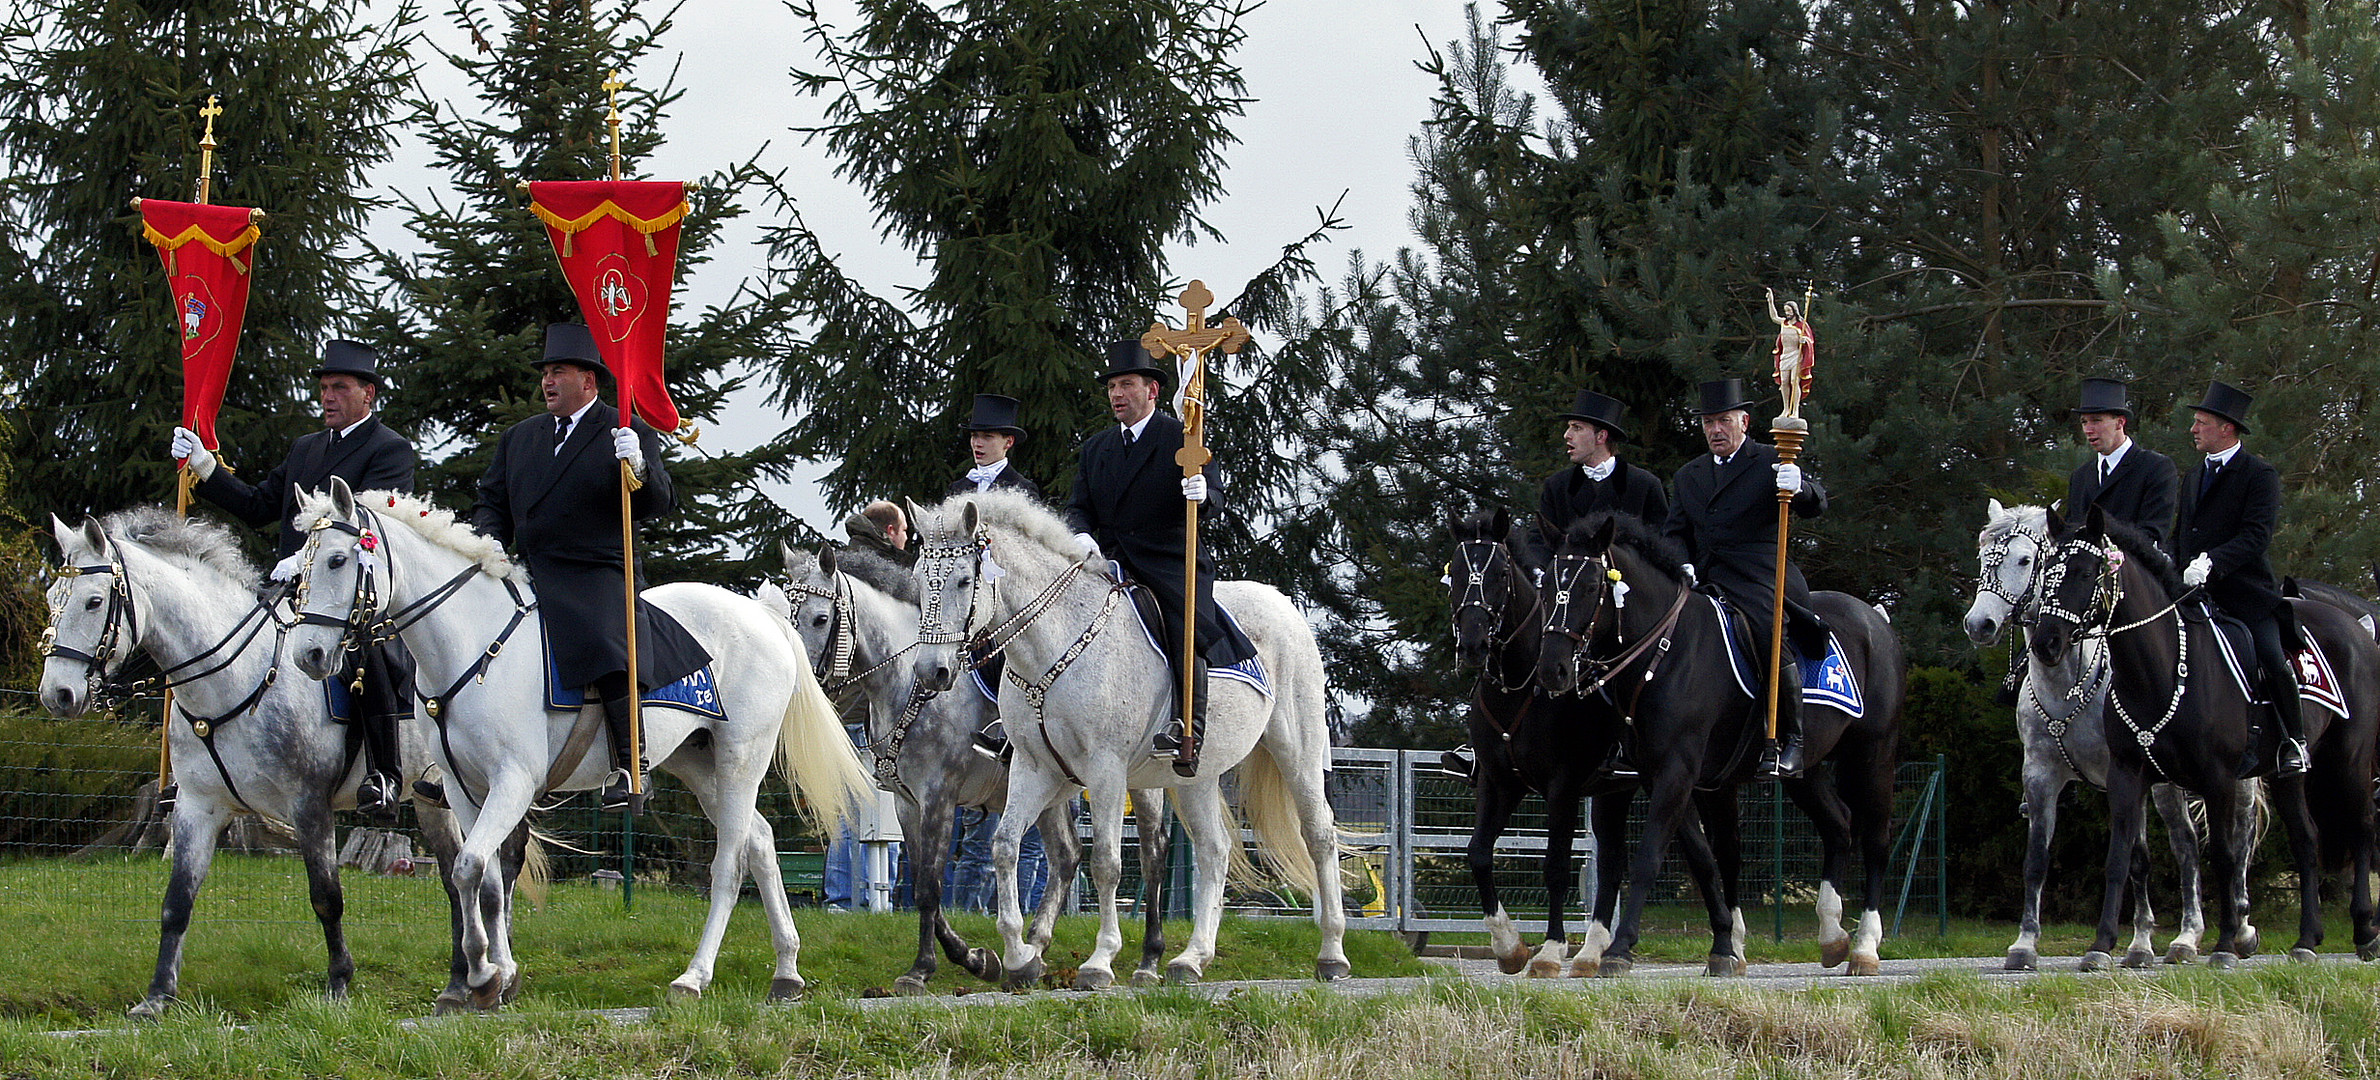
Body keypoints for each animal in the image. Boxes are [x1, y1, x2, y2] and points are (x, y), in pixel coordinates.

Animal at [904, 492, 1351, 989]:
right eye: (919, 581)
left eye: (965, 580)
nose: (931, 672)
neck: (1053, 644)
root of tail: (1280, 601)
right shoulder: (1032, 767)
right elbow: (1004, 846)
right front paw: (1020, 957)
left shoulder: (1106, 770)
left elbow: (1105, 863)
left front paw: (1099, 961)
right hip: (1193, 775)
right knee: (1214, 850)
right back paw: (1192, 958)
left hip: (1298, 751)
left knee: (1319, 835)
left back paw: (1332, 953)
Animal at [1428, 511, 1732, 975]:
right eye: (1455, 575)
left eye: (1500, 575)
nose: (1474, 645)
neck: (1519, 684)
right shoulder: (1498, 782)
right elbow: (1478, 853)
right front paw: (1508, 947)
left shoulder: (1562, 787)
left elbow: (1555, 866)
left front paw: (1550, 950)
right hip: (1616, 791)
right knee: (1613, 862)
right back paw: (1593, 952)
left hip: (1677, 784)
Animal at [1532, 513, 1904, 980]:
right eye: (1546, 588)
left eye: (1589, 586)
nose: (1553, 669)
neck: (1666, 651)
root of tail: (1875, 618)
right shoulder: (1664, 776)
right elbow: (1705, 858)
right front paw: (1725, 946)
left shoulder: (1677, 772)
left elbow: (1650, 856)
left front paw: (1620, 948)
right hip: (1808, 770)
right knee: (1838, 823)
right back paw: (1832, 934)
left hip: (1873, 755)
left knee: (1875, 840)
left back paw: (1865, 946)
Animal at [1961, 499, 2237, 970]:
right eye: (1982, 557)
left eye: (2026, 560)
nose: (1979, 624)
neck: (2065, 684)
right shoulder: (2040, 777)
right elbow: (2036, 860)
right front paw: (2024, 945)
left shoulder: (2126, 776)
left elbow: (2138, 859)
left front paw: (2139, 945)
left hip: (2171, 785)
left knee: (2191, 845)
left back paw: (2197, 937)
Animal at [2027, 511, 2380, 965]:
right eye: (2046, 573)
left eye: (2086, 573)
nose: (2046, 643)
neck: (2158, 670)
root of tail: (2356, 627)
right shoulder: (2127, 775)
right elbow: (2119, 857)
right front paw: (2101, 945)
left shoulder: (2219, 779)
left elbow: (2225, 858)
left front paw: (2226, 943)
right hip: (2288, 774)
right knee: (2307, 839)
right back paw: (2306, 939)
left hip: (2349, 761)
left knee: (2362, 829)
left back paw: (2364, 931)